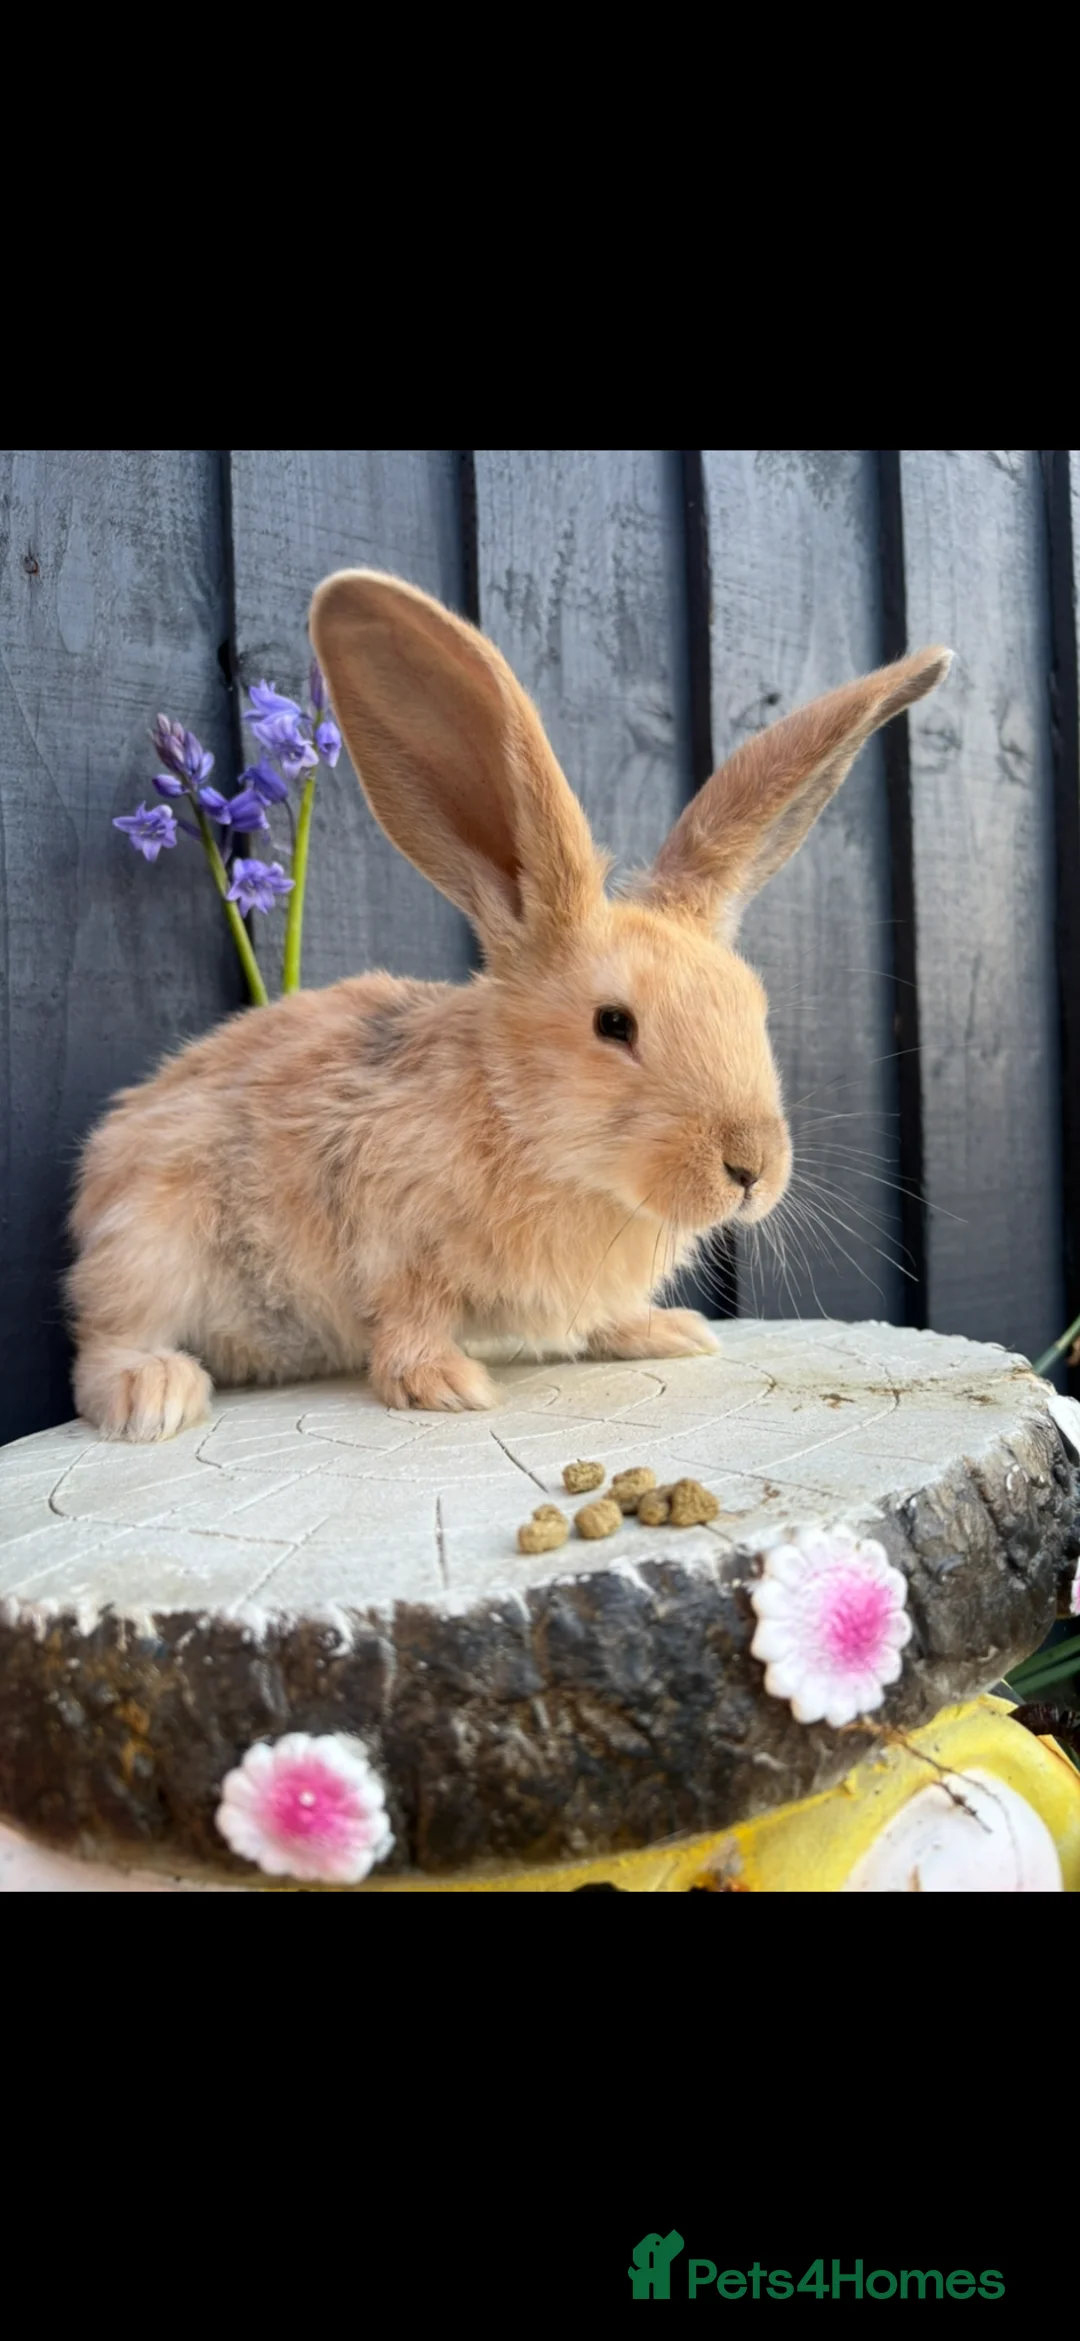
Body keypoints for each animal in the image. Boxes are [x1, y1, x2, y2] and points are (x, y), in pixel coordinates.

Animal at [69, 568, 951, 1439]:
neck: (523, 1123)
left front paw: (663, 1331)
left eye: (753, 1008)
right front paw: (445, 1384)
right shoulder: (394, 1242)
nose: (750, 1169)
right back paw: (155, 1393)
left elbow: (599, 1317)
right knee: (102, 1344)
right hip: (148, 1243)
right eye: (613, 1024)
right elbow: (410, 1316)